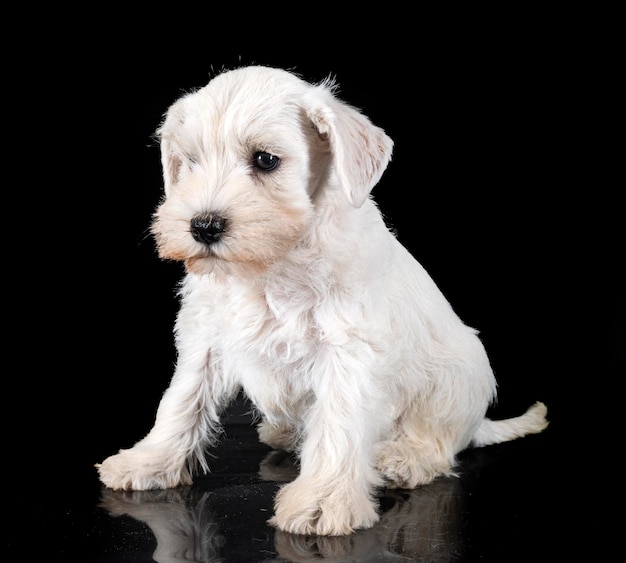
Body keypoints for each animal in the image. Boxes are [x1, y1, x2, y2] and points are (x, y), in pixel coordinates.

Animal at [96, 66, 544, 536]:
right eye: (192, 161)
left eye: (266, 160)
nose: (203, 226)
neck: (271, 265)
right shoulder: (206, 339)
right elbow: (181, 401)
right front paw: (149, 461)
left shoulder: (346, 352)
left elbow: (337, 426)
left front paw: (322, 501)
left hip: (459, 378)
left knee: (438, 442)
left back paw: (404, 458)